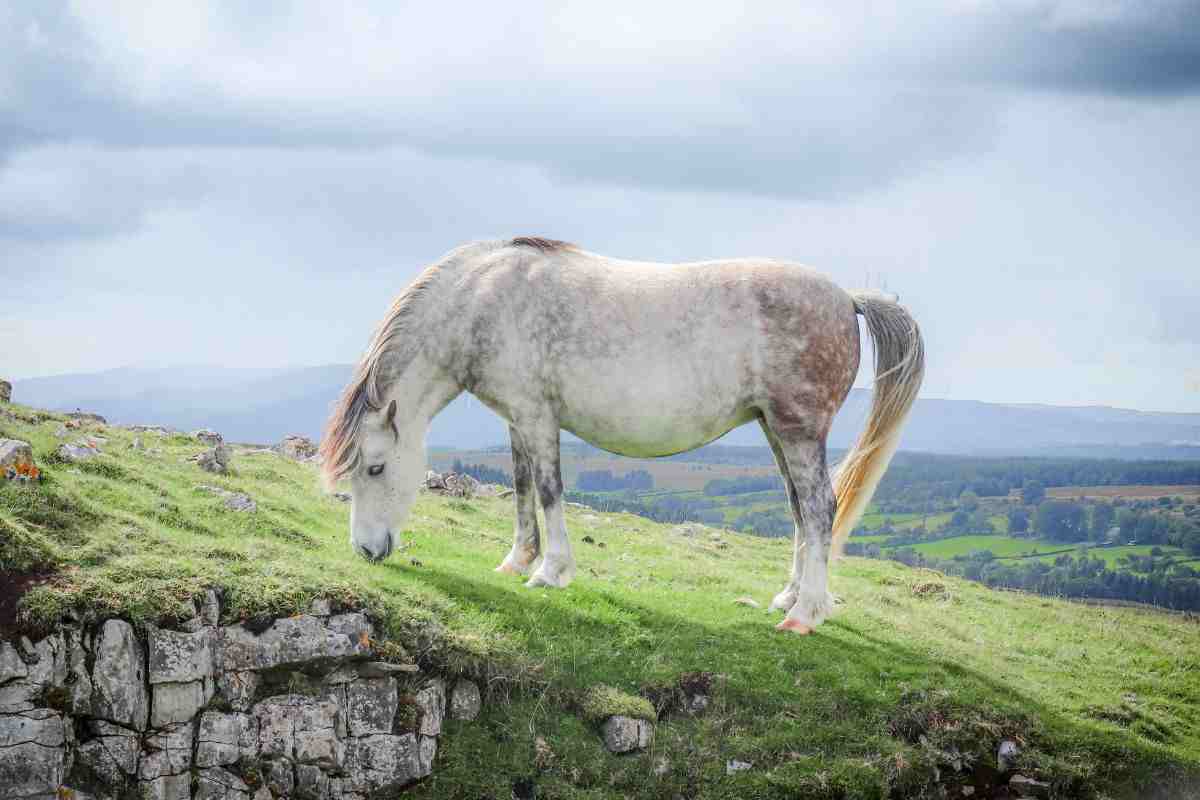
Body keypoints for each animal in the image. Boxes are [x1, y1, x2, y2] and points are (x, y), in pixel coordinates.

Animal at [320, 237, 924, 634]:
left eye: (376, 467)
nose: (367, 550)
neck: (483, 302)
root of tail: (847, 298)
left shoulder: (538, 417)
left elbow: (548, 492)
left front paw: (550, 572)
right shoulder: (517, 419)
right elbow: (521, 489)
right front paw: (517, 560)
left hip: (798, 431)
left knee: (821, 509)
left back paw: (805, 615)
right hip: (778, 432)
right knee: (802, 510)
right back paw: (790, 597)